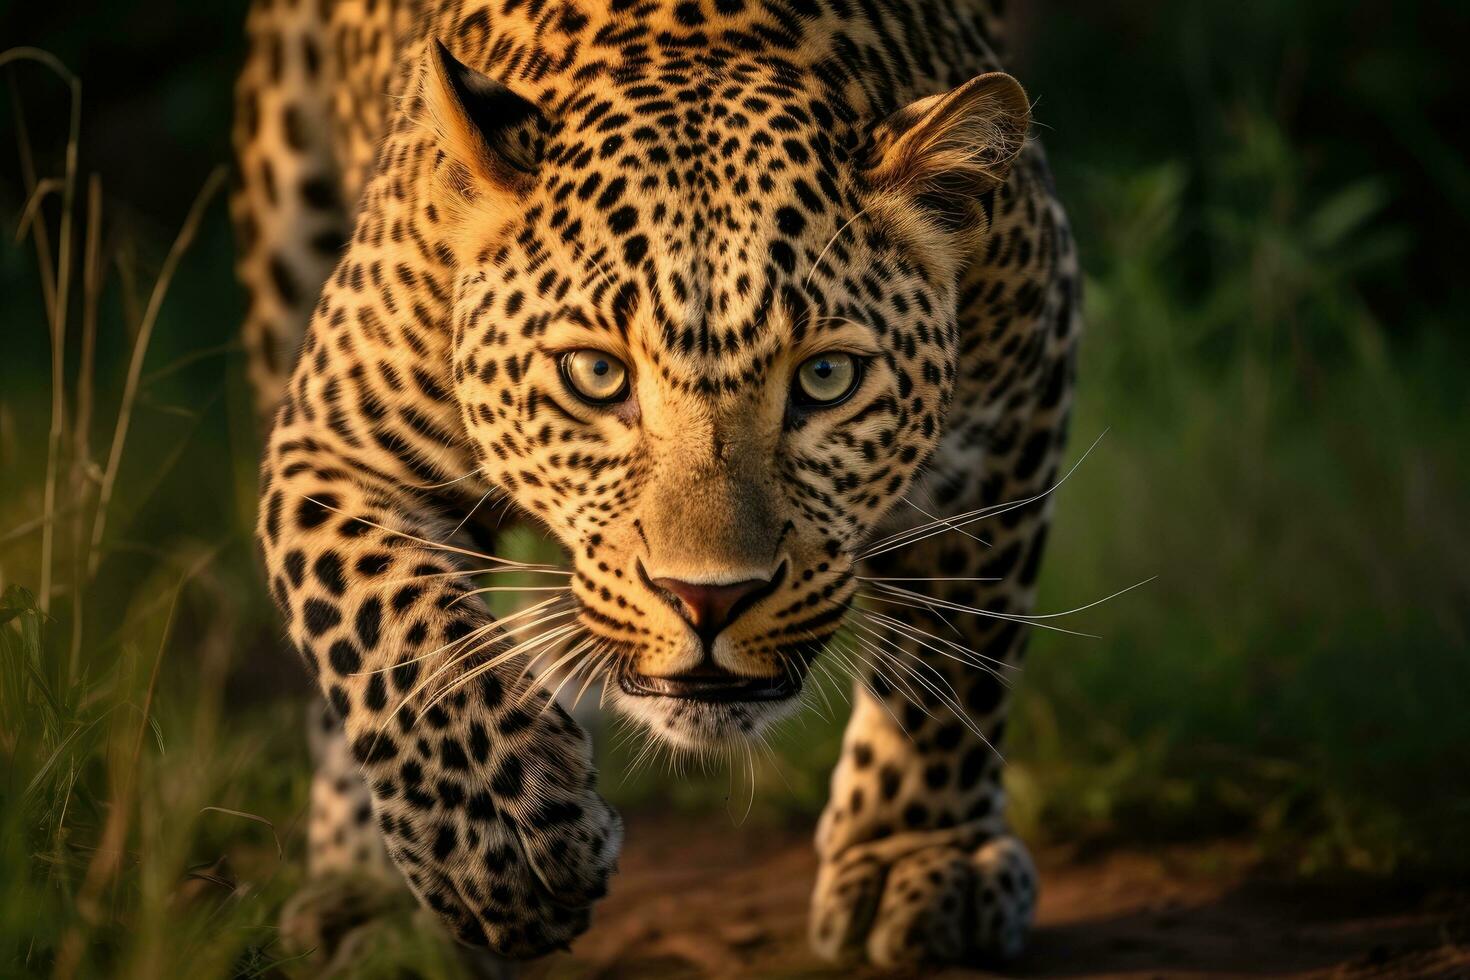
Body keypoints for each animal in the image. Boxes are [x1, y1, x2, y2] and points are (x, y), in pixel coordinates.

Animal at [232, 0, 1081, 963]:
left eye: (827, 378)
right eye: (596, 375)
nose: (708, 598)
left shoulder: (1016, 397)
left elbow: (954, 653)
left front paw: (921, 855)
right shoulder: (336, 447)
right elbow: (393, 634)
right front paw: (506, 847)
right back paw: (361, 888)